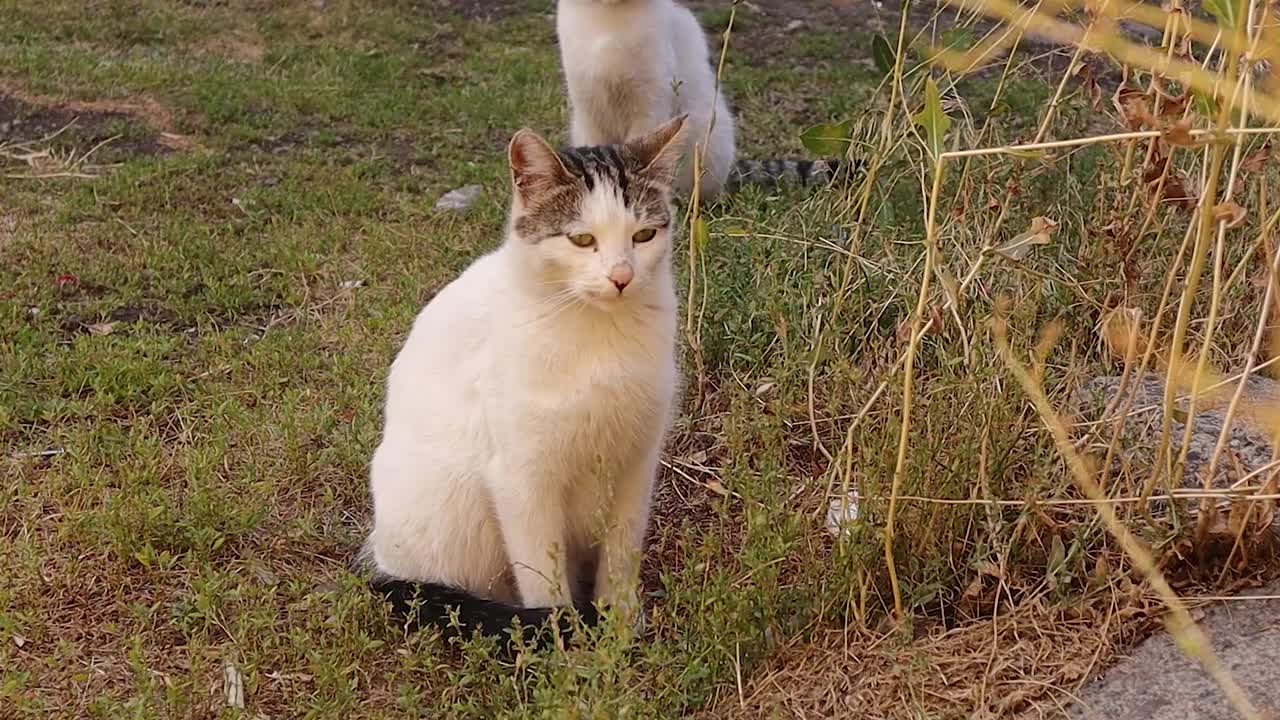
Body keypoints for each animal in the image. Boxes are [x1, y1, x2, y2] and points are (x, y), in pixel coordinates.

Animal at [360, 116, 691, 645]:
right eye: (582, 240)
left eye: (643, 235)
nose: (621, 276)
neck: (598, 338)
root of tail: (380, 557)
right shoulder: (521, 479)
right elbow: (542, 575)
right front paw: (563, 641)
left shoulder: (636, 463)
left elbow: (620, 556)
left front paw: (620, 625)